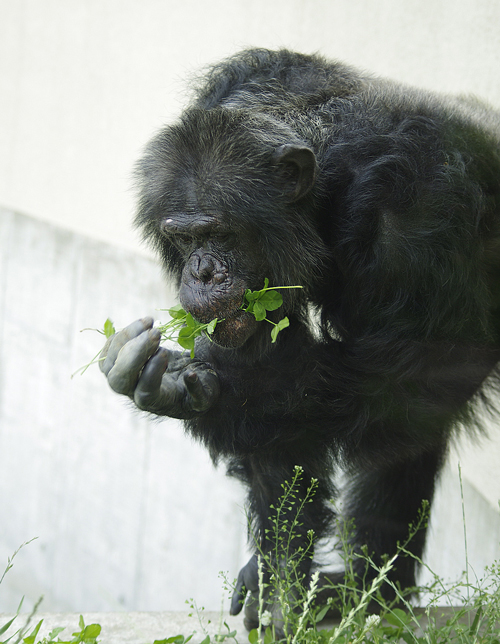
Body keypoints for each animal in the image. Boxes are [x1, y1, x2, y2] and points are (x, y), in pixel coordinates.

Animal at [99, 49, 500, 628]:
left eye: (219, 232)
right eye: (184, 237)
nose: (200, 271)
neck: (327, 185)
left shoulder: (420, 216)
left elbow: (404, 382)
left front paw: (188, 386)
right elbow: (275, 435)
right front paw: (278, 577)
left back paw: (369, 591)